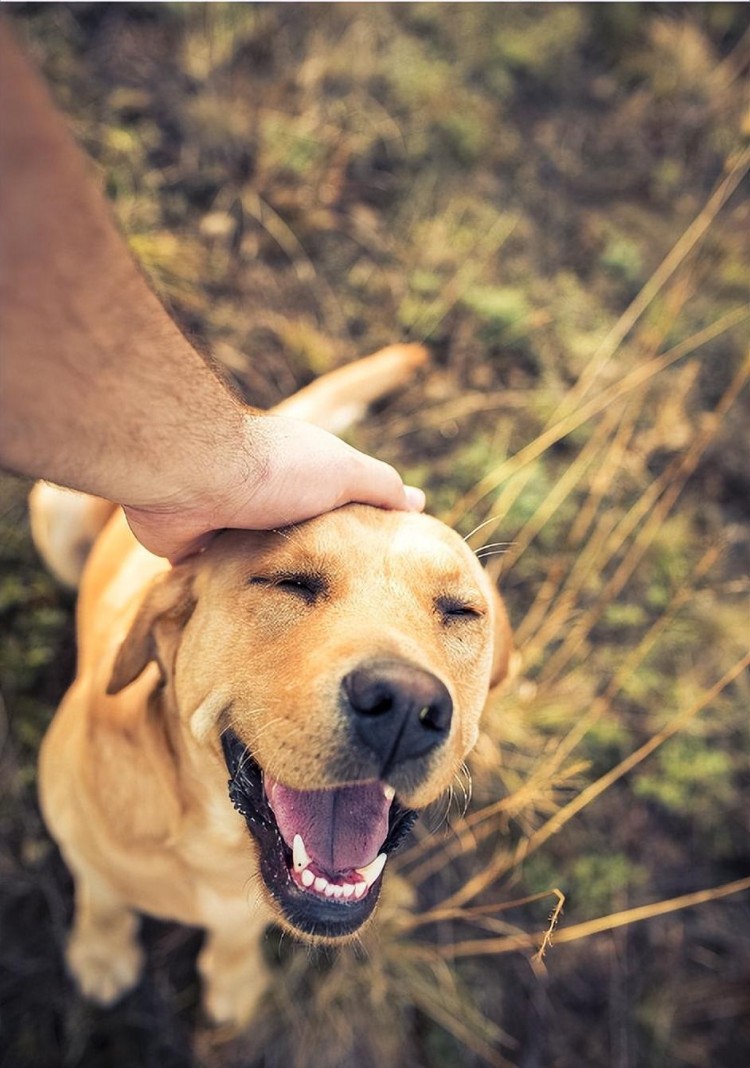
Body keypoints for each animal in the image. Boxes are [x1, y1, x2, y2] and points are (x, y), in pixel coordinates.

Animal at [29, 346, 510, 1029]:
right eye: (289, 583)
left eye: (462, 612)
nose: (404, 706)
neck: (215, 844)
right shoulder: (80, 846)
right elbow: (105, 898)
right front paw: (101, 954)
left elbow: (236, 932)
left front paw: (233, 980)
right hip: (57, 511)